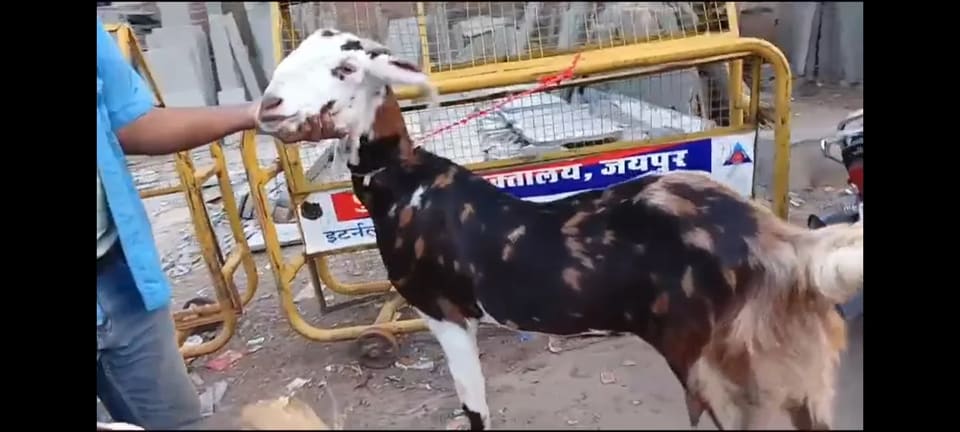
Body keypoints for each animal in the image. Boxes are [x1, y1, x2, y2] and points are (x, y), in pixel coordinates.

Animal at [256, 29, 864, 430]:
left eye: (345, 69)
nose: (269, 106)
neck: (404, 181)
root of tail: (779, 244)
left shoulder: (444, 311)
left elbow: (474, 406)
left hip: (723, 366)